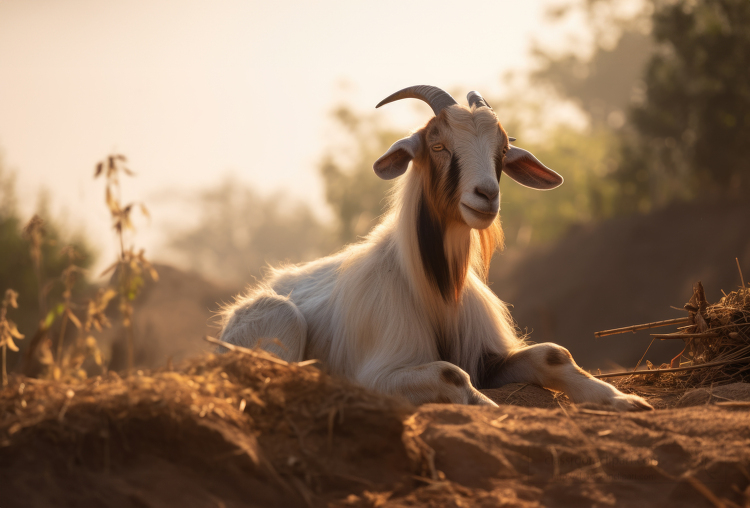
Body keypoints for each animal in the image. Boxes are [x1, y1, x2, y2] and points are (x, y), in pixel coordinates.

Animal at [220, 85, 656, 410]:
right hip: (279, 319)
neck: (435, 288)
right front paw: (487, 407)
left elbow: (553, 354)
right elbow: (450, 372)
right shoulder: (379, 375)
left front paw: (624, 400)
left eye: (502, 151)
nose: (486, 196)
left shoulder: (486, 358)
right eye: (438, 145)